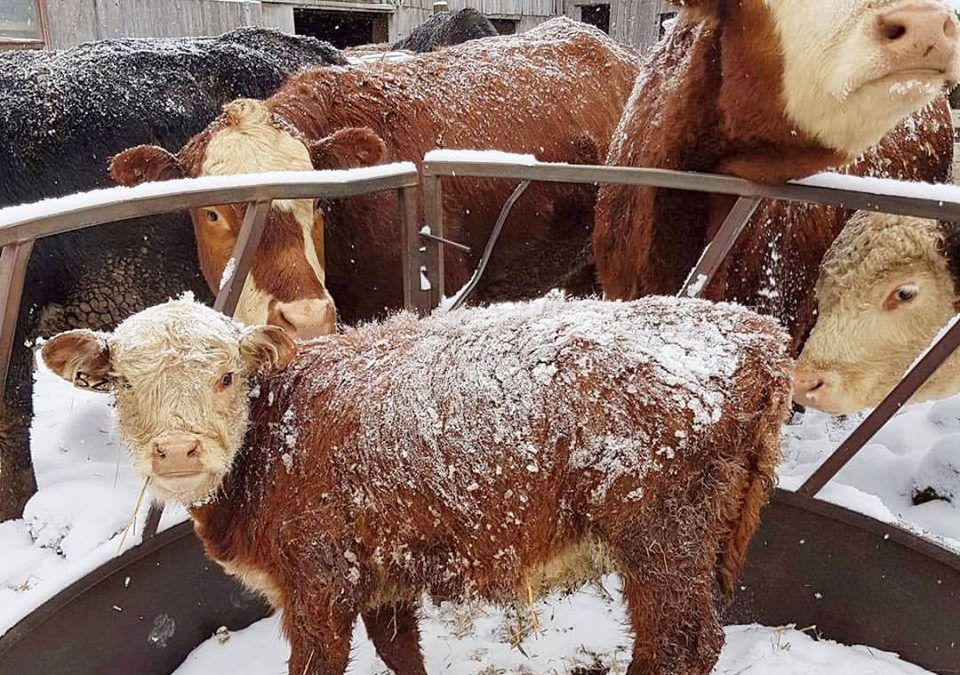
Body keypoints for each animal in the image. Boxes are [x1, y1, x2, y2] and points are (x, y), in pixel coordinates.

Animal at [40, 294, 793, 675]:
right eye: (122, 382)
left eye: (225, 375)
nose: (175, 448)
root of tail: (754, 331)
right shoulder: (381, 568)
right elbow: (400, 650)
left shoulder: (318, 580)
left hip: (661, 536)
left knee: (678, 642)